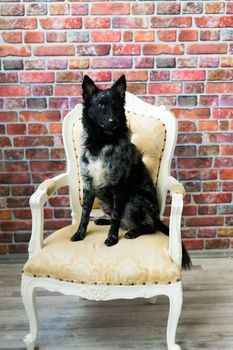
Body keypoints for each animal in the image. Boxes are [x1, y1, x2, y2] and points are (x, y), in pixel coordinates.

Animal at [71, 75, 191, 270]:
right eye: (101, 105)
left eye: (116, 106)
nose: (113, 121)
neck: (102, 142)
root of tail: (157, 217)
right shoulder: (89, 186)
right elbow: (84, 214)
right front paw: (79, 233)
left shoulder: (119, 188)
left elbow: (116, 217)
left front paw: (112, 238)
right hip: (104, 202)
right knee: (119, 219)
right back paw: (104, 220)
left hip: (133, 201)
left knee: (148, 226)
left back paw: (134, 232)